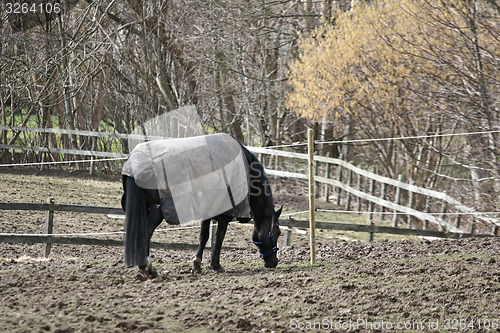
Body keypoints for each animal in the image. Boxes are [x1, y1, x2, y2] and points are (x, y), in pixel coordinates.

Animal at [119, 132, 280, 278]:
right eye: (277, 232)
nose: (274, 262)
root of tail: (135, 161)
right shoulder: (225, 214)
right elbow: (219, 237)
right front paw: (215, 265)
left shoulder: (207, 209)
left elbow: (204, 236)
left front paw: (197, 265)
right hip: (156, 211)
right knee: (145, 235)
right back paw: (147, 268)